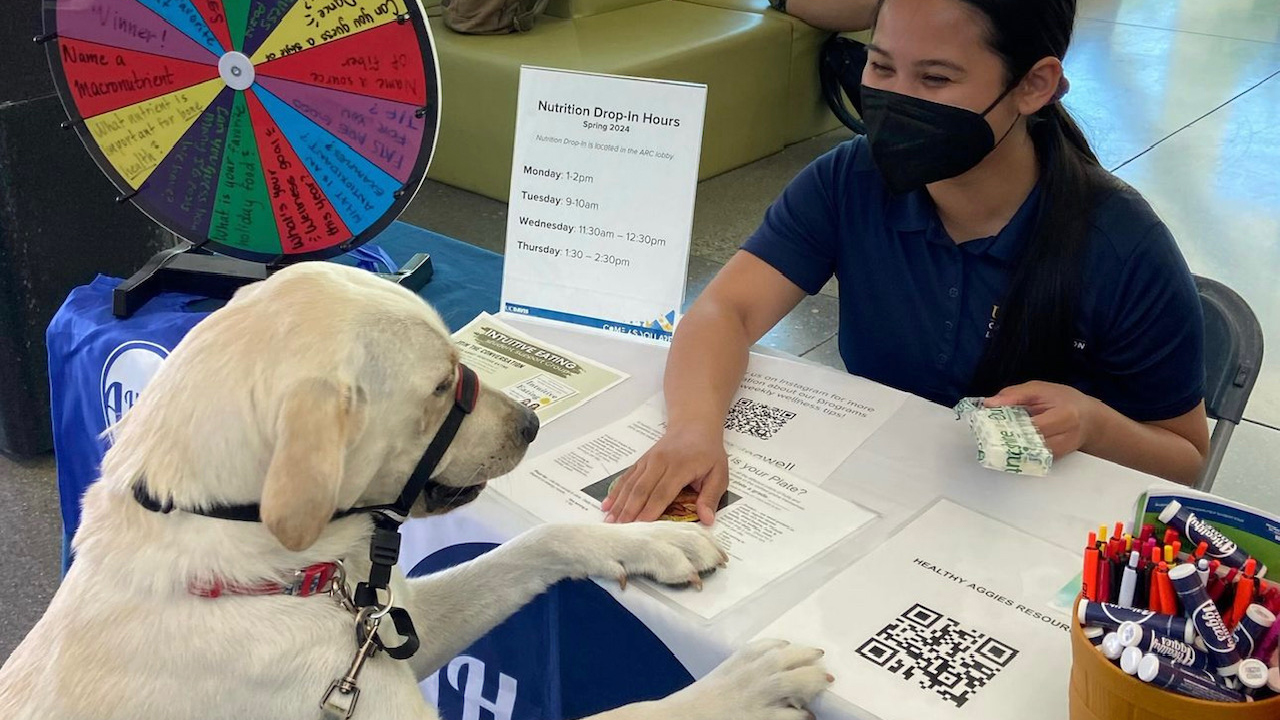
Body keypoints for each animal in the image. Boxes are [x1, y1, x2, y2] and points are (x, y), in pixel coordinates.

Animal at [2, 262, 829, 717]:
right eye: (438, 387)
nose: (533, 422)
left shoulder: (400, 625)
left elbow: (537, 541)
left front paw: (649, 538)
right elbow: (639, 715)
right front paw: (745, 687)